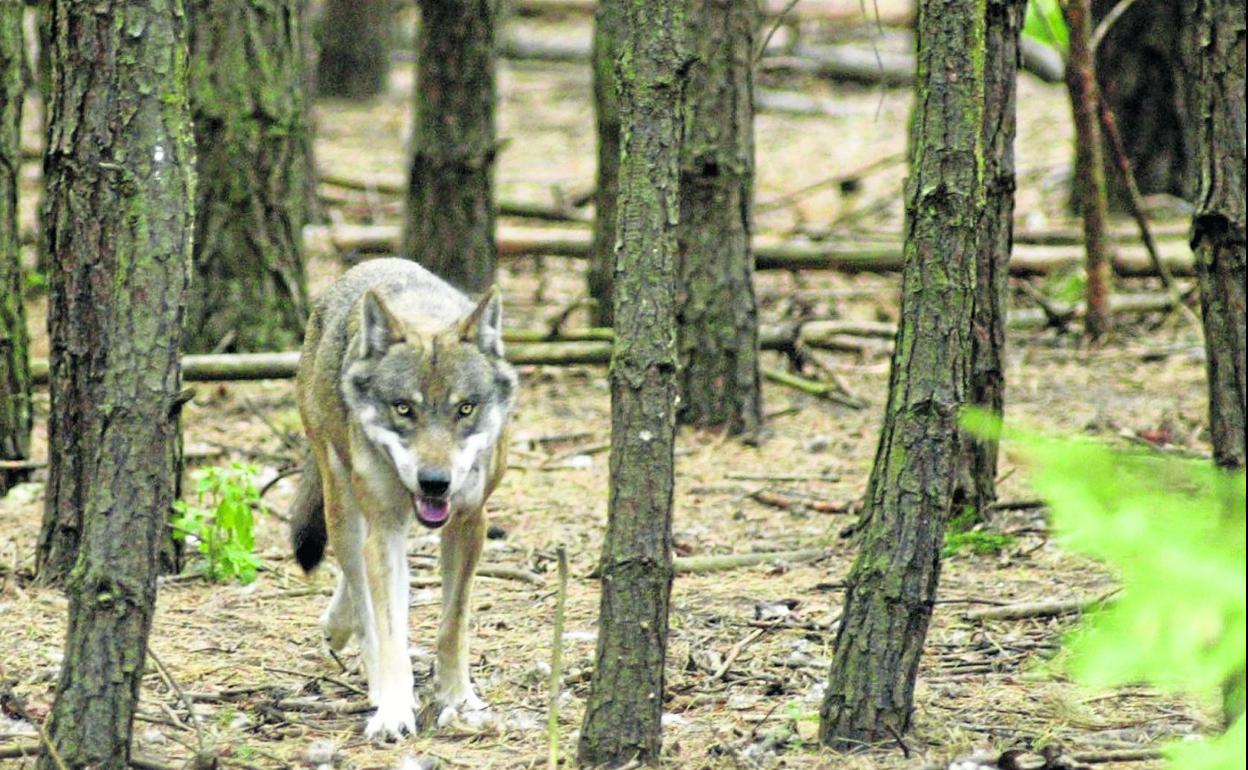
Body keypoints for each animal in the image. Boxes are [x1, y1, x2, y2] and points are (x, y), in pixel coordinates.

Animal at [287, 258, 516, 738]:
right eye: (403, 409)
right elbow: (388, 628)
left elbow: (452, 625)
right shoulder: (386, 530)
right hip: (343, 508)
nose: (434, 482)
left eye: (465, 409)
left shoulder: (470, 523)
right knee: (362, 597)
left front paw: (460, 699)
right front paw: (393, 710)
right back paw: (371, 675)